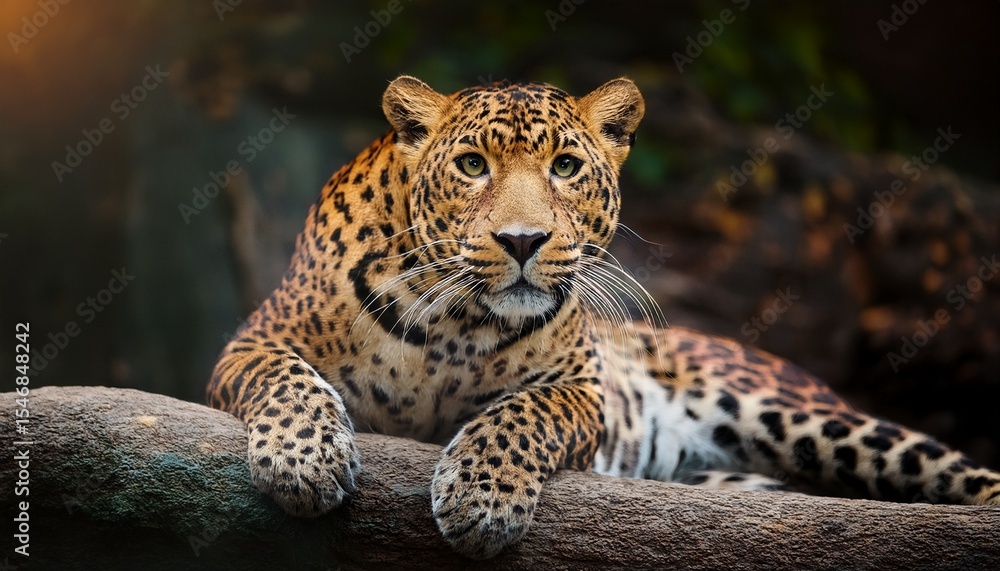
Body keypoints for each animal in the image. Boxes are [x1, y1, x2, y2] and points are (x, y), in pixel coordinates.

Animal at [208, 75, 1000, 559]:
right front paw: (304, 460)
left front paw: (479, 498)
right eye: (471, 165)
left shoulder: (584, 386)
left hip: (799, 413)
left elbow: (521, 413)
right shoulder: (251, 342)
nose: (521, 240)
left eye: (565, 167)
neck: (453, 327)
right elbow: (288, 380)